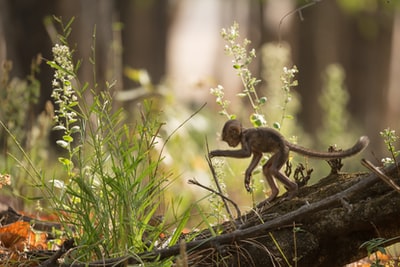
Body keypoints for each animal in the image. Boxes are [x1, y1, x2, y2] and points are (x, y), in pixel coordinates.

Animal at [209, 120, 368, 202]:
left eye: (229, 139)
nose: (230, 144)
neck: (243, 132)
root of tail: (285, 142)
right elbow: (258, 155)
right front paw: (248, 174)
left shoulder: (245, 139)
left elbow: (246, 154)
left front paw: (217, 153)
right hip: (281, 153)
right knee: (267, 168)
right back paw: (274, 194)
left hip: (283, 152)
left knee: (273, 170)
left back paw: (293, 189)